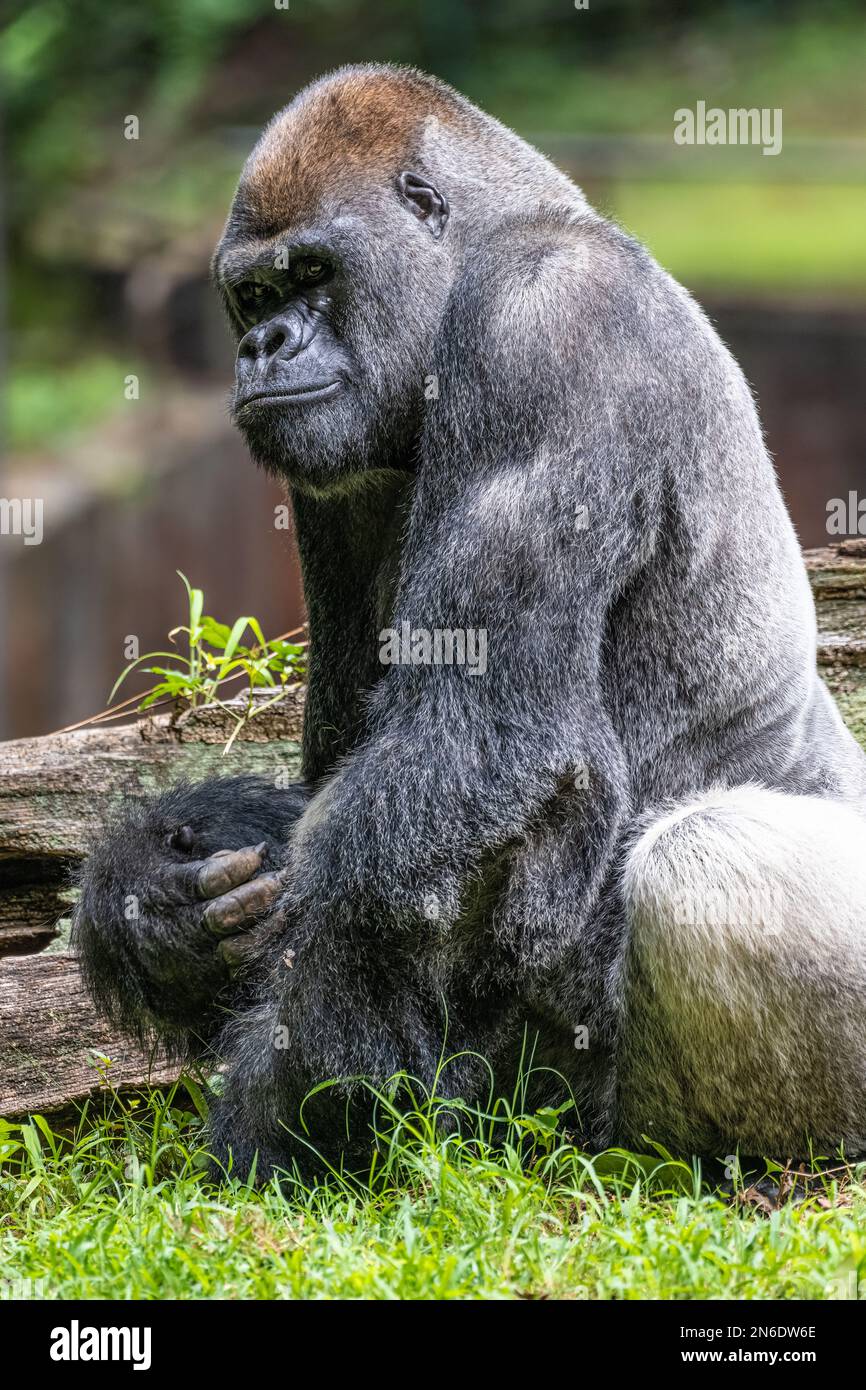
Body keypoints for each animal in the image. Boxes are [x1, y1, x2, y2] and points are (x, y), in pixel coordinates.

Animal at [72, 65, 866, 1173]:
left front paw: (284, 1094)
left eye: (312, 272)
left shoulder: (545, 321)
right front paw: (149, 903)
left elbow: (476, 744)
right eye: (255, 295)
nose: (264, 344)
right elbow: (344, 771)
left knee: (699, 863)